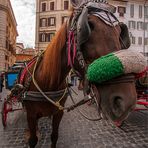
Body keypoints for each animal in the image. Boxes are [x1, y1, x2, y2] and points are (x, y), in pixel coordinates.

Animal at [21, 0, 135, 147]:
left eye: (120, 32)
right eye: (88, 26)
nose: (126, 102)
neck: (47, 82)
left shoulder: (58, 113)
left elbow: (54, 136)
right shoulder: (31, 115)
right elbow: (33, 140)